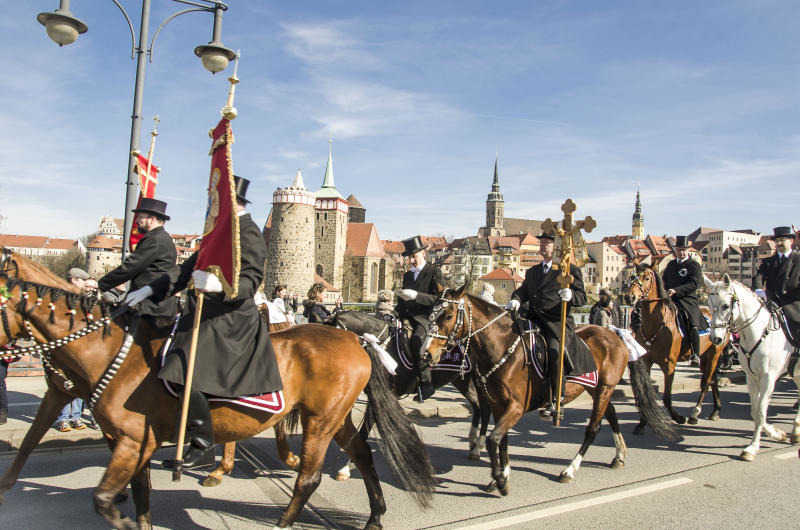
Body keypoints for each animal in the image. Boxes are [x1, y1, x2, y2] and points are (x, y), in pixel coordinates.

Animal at [0, 249, 434, 528]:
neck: (113, 350)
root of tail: (355, 339)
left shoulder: (130, 438)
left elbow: (106, 499)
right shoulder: (125, 438)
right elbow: (138, 494)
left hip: (321, 420)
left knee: (310, 477)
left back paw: (286, 517)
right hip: (332, 416)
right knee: (362, 453)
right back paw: (373, 514)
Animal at [422, 286, 680, 488]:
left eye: (447, 315)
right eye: (431, 314)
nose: (426, 354)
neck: (502, 348)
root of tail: (614, 332)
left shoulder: (515, 407)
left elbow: (495, 439)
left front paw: (500, 479)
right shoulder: (498, 405)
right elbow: (501, 439)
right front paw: (501, 474)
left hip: (604, 388)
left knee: (593, 429)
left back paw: (570, 469)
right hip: (597, 388)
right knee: (612, 415)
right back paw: (619, 455)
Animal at [624, 262, 732, 432]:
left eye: (646, 278)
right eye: (633, 276)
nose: (630, 297)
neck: (656, 325)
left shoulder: (669, 365)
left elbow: (667, 397)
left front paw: (677, 417)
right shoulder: (647, 362)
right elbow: (646, 394)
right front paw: (642, 423)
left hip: (715, 353)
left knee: (707, 381)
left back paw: (695, 414)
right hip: (705, 356)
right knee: (713, 379)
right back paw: (715, 410)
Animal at [708, 274, 800, 460]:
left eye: (726, 305)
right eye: (708, 304)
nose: (716, 338)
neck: (756, 333)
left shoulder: (768, 378)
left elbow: (761, 412)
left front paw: (758, 444)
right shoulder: (751, 378)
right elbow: (755, 411)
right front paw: (773, 435)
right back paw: (795, 431)